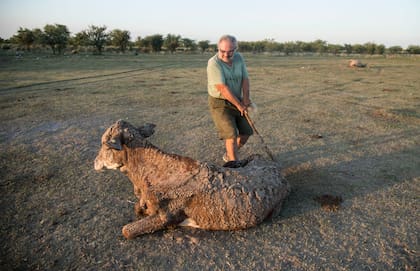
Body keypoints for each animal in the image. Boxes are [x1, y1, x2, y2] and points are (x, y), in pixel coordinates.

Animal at [93, 120, 290, 239]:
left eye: (104, 144)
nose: (94, 162)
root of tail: (276, 168)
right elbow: (138, 208)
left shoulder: (166, 216)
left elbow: (126, 230)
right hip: (253, 158)